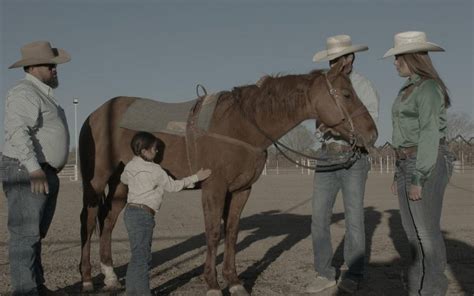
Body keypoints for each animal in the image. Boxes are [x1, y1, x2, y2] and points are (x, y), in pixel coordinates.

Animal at [78, 61, 378, 294]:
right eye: (346, 94)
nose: (372, 133)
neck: (240, 126)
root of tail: (95, 114)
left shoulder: (241, 190)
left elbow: (231, 233)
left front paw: (233, 282)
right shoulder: (214, 188)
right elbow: (213, 233)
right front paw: (212, 284)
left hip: (121, 184)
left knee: (109, 220)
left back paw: (110, 277)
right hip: (97, 181)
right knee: (90, 220)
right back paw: (87, 279)